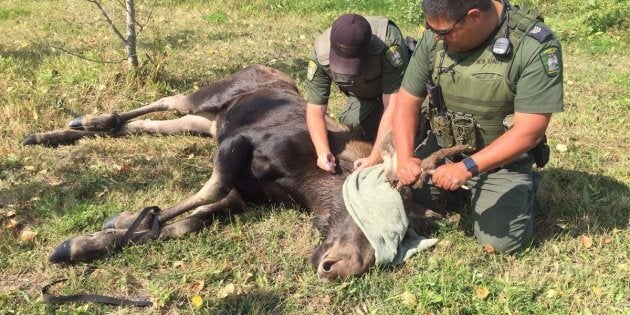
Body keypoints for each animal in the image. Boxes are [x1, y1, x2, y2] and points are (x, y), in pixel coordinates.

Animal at [23, 65, 470, 282]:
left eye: (406, 228)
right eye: (380, 201)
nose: (342, 268)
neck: (306, 185)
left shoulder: (243, 192)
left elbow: (190, 222)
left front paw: (104, 235)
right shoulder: (239, 146)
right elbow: (205, 194)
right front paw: (111, 230)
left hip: (206, 123)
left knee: (155, 124)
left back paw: (62, 132)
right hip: (210, 96)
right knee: (169, 99)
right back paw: (88, 119)